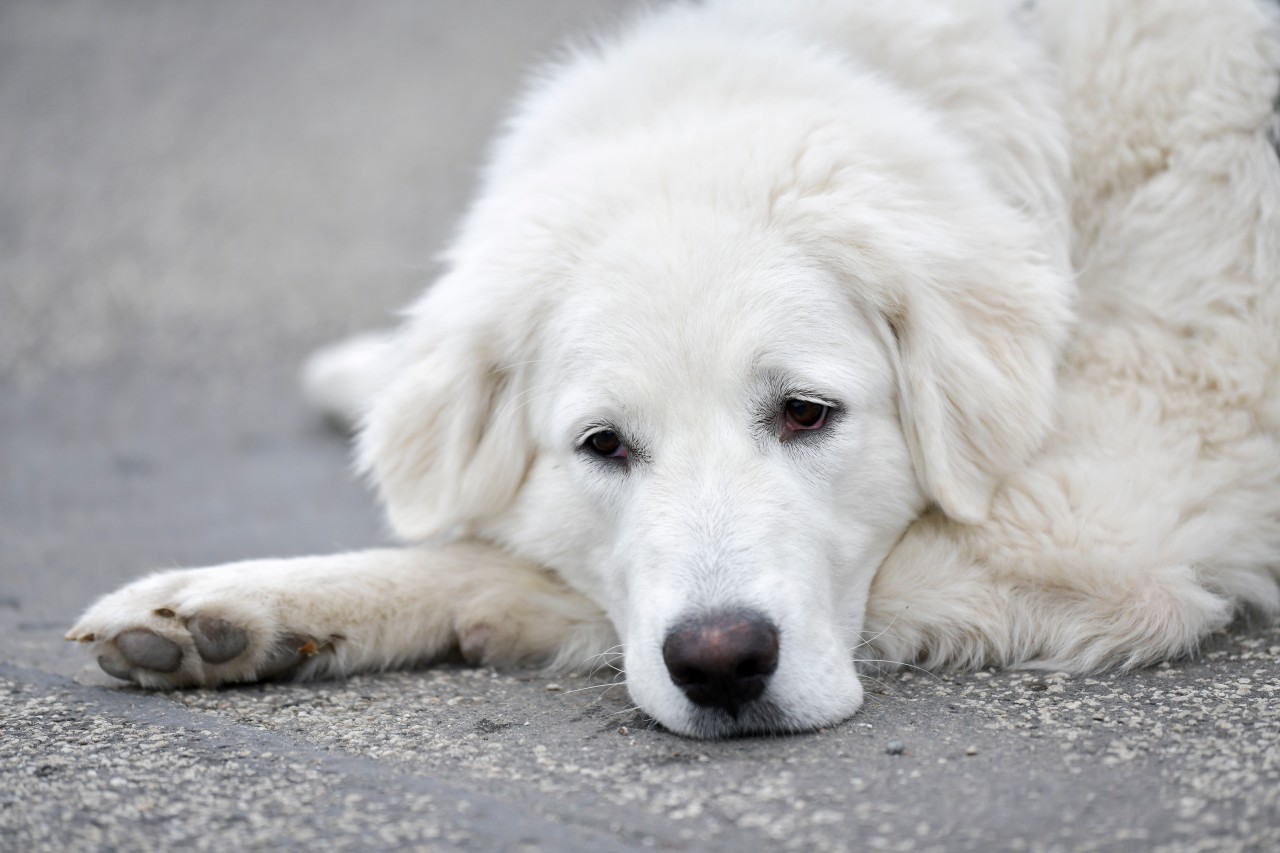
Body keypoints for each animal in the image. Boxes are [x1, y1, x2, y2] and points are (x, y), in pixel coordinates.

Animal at [67, 0, 1280, 737]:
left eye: (806, 413)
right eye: (603, 444)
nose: (720, 663)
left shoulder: (1102, 527)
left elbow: (506, 559)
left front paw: (265, 598)